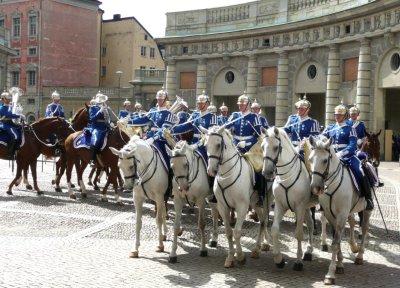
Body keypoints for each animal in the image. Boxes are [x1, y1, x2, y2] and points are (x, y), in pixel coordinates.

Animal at [202, 126, 274, 268]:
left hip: (267, 201)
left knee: (264, 221)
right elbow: (229, 232)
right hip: (255, 203)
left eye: (218, 145)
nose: (211, 171)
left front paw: (240, 256)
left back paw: (260, 247)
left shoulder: (242, 207)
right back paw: (259, 247)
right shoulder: (223, 207)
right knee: (262, 221)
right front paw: (230, 257)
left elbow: (237, 232)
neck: (227, 175)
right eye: (206, 145)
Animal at [260, 127, 320, 272]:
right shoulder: (280, 205)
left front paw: (298, 262)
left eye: (276, 147)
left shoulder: (299, 207)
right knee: (311, 225)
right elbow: (275, 229)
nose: (267, 173)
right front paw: (278, 259)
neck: (287, 176)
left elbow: (298, 233)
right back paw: (309, 251)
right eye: (262, 146)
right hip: (307, 207)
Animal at [310, 136, 372, 284]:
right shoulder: (330, 214)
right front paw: (339, 264)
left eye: (325, 160)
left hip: (366, 210)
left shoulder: (341, 215)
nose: (315, 187)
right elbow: (336, 241)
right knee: (353, 223)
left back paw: (359, 255)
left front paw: (330, 274)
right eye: (310, 159)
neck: (332, 185)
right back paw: (353, 247)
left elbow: (335, 242)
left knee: (364, 228)